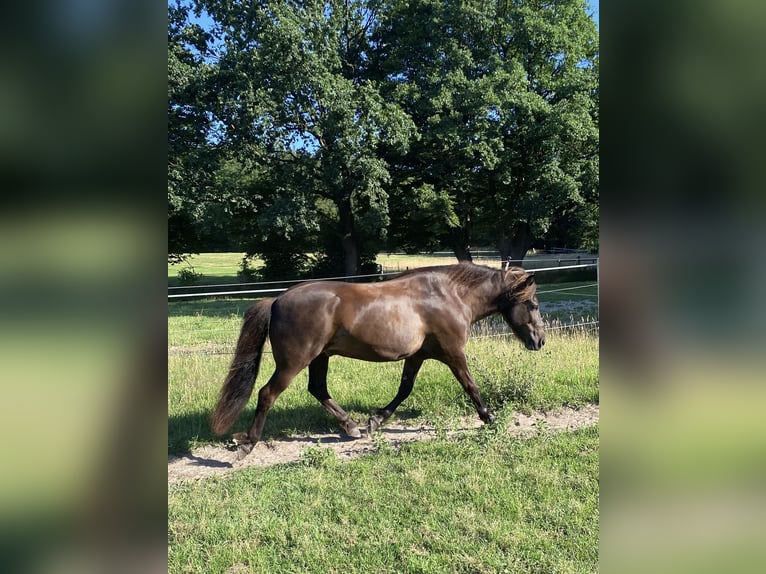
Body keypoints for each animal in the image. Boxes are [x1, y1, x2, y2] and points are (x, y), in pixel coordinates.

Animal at [210, 262, 544, 460]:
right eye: (533, 303)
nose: (539, 340)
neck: (450, 296)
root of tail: (277, 300)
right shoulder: (453, 353)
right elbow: (470, 386)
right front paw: (490, 418)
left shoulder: (417, 356)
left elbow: (404, 390)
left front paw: (374, 421)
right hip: (294, 361)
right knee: (268, 393)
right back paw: (249, 443)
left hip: (320, 357)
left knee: (318, 389)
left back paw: (351, 427)